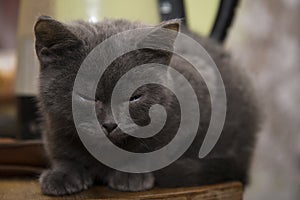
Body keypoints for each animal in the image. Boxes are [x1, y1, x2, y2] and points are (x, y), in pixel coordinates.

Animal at [34, 15, 258, 195]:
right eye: (87, 97)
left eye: (135, 97)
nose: (110, 124)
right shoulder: (53, 127)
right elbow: (60, 149)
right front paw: (63, 174)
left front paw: (131, 174)